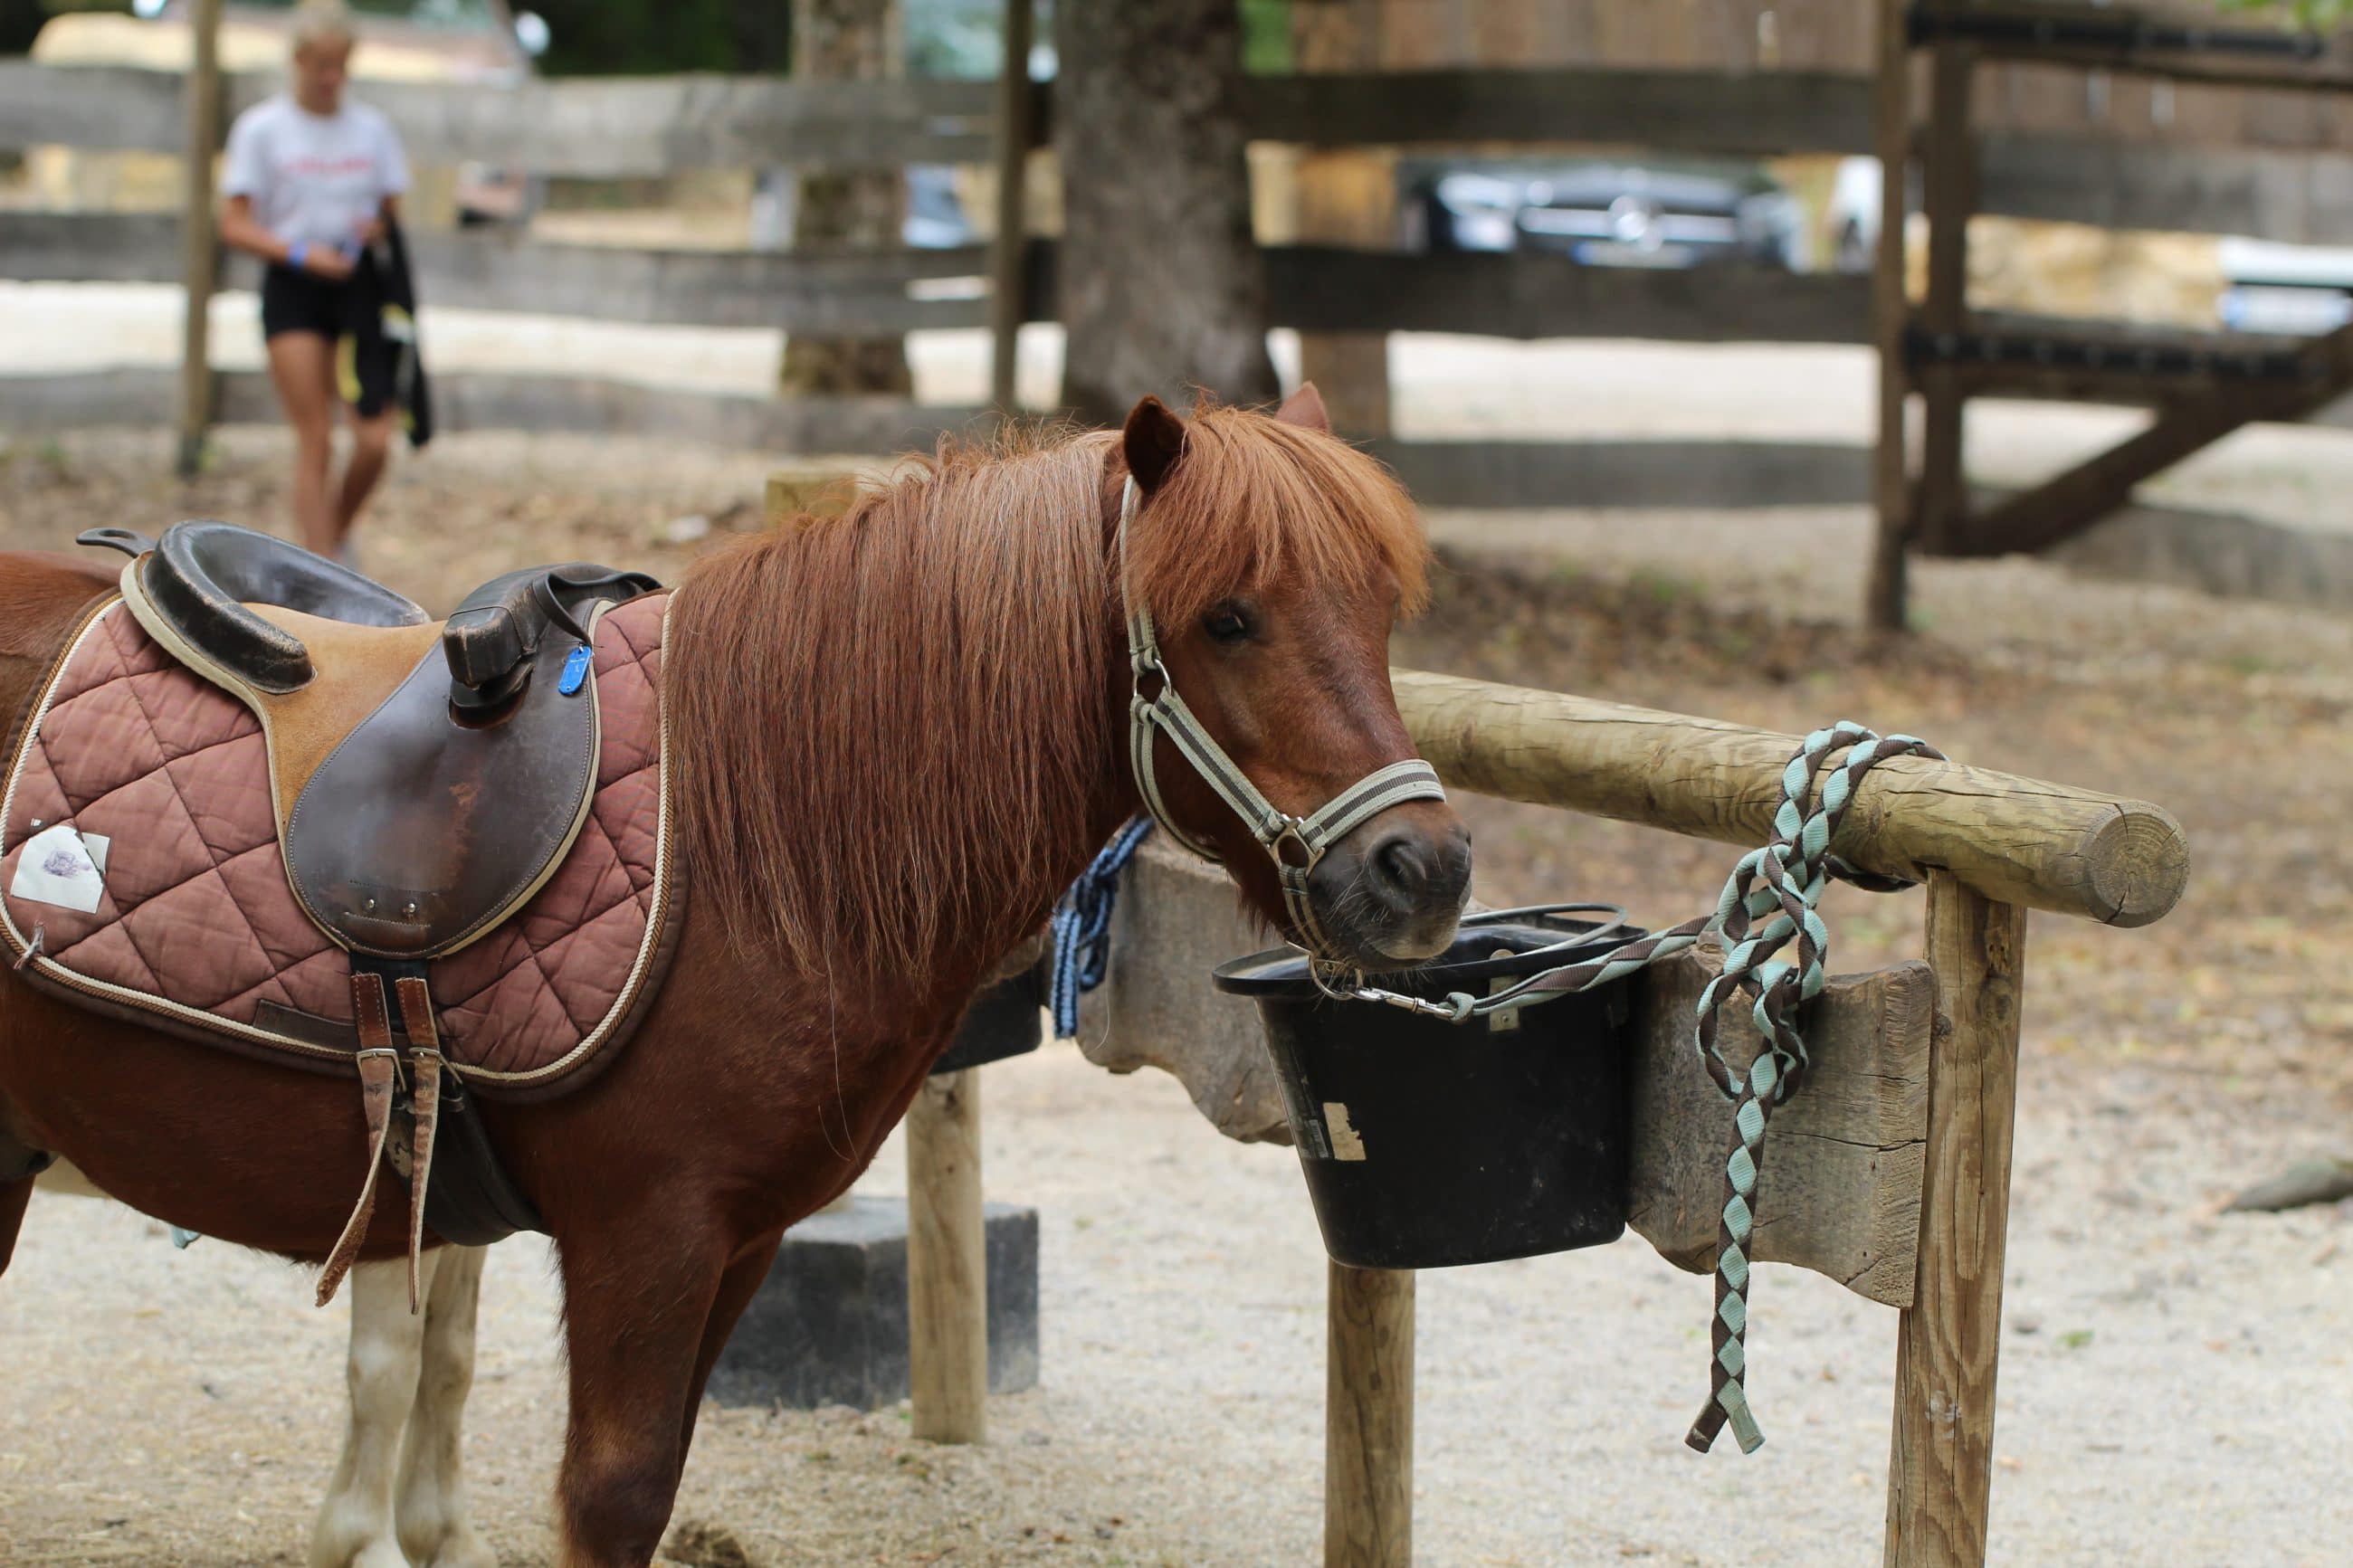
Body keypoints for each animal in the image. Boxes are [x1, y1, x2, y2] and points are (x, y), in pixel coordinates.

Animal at [0, 385, 1468, 1561]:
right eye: (1228, 617)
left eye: (1378, 608)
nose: (1424, 871)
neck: (749, 846)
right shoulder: (642, 1242)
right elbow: (605, 1496)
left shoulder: (735, 1244)